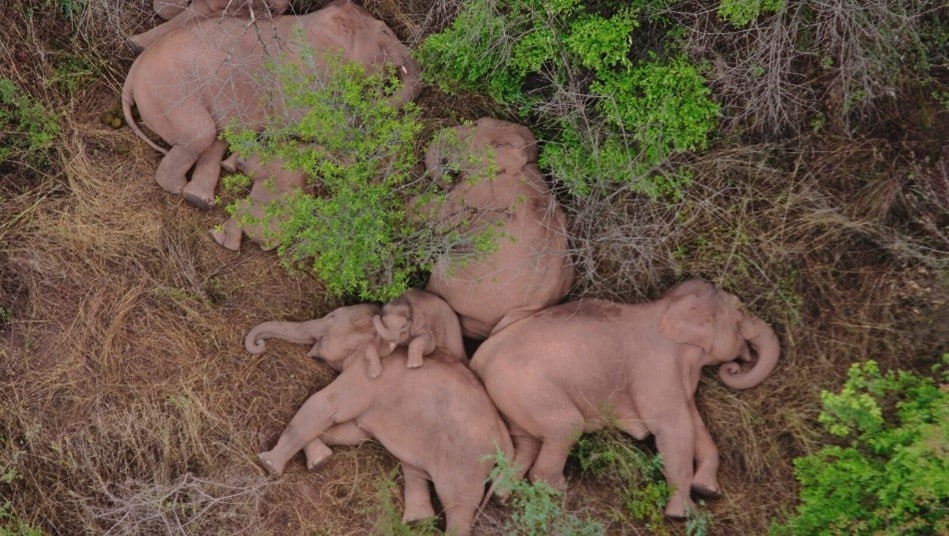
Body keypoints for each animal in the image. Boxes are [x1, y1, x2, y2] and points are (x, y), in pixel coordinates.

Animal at [244, 304, 514, 535]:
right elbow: (353, 432)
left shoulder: (367, 376)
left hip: (467, 463)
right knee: (414, 467)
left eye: (331, 318)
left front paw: (268, 464)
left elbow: (325, 405)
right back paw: (417, 521)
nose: (259, 344)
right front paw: (320, 461)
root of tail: (505, 439)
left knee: (458, 505)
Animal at [423, 118, 575, 339]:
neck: (525, 164)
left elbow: (440, 216)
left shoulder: (479, 192)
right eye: (478, 122)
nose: (449, 175)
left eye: (475, 131)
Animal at [469, 279, 781, 519]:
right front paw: (684, 515)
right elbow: (673, 428)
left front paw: (707, 490)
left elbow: (695, 424)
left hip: (513, 397)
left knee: (527, 442)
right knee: (566, 427)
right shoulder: (655, 369)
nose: (734, 367)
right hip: (526, 386)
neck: (667, 306)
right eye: (740, 311)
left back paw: (502, 497)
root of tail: (480, 357)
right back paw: (556, 490)